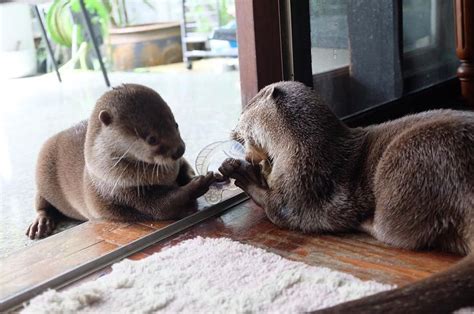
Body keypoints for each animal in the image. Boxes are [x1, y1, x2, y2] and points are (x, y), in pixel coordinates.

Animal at [26, 84, 216, 239]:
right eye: (152, 139)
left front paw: (201, 177)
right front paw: (198, 185)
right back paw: (41, 223)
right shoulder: (123, 193)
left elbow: (185, 169)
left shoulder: (178, 164)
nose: (179, 150)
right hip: (42, 178)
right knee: (41, 202)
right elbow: (163, 206)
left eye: (176, 125)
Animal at [221, 81, 474, 314]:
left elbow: (275, 209)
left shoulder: (301, 187)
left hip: (405, 168)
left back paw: (364, 223)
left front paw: (241, 174)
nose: (231, 130)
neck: (300, 147)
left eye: (243, 113)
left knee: (397, 233)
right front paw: (256, 168)